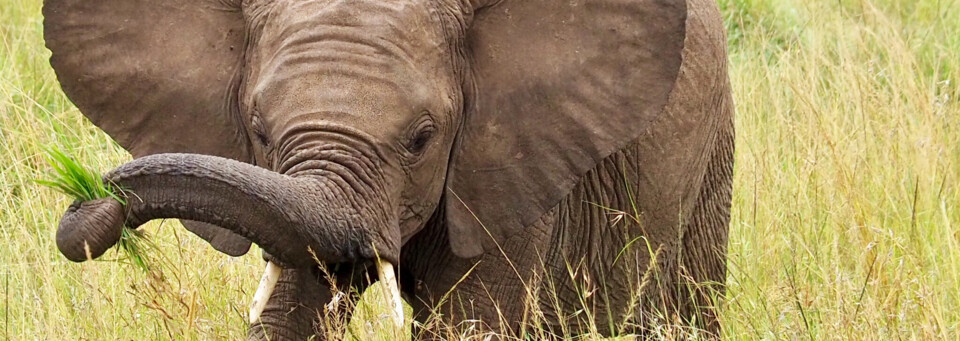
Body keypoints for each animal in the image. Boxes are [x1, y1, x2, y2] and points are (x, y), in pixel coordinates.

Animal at [43, 0, 736, 338]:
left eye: (422, 140)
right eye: (259, 131)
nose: (86, 204)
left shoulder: (509, 159)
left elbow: (472, 322)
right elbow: (295, 307)